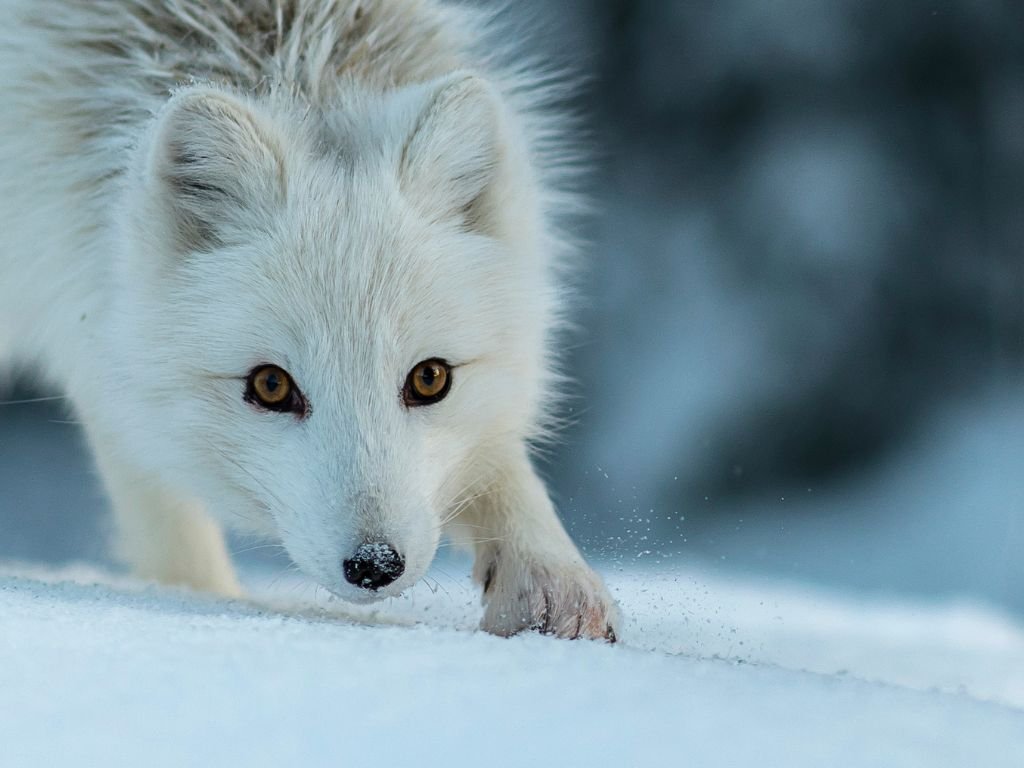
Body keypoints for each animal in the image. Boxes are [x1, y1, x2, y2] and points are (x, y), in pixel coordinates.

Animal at [0, 0, 618, 641]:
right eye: (271, 385)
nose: (375, 565)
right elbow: (161, 508)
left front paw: (548, 580)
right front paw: (200, 601)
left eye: (430, 379)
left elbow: (498, 458)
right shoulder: (85, 316)